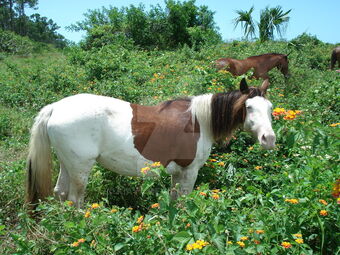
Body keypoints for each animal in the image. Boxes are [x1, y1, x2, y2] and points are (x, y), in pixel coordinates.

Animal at [26, 78, 276, 208]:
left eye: (270, 107)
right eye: (248, 107)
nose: (269, 139)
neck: (199, 121)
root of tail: (55, 107)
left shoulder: (178, 173)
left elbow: (174, 201)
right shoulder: (190, 171)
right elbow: (183, 202)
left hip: (68, 163)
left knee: (60, 193)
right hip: (80, 167)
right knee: (75, 199)